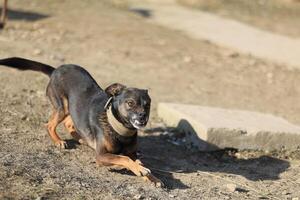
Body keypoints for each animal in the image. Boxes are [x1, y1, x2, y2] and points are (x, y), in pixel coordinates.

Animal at [0, 57, 163, 187]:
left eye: (147, 105)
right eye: (130, 103)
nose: (143, 116)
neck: (119, 129)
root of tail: (56, 70)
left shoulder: (133, 153)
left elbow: (137, 161)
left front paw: (152, 177)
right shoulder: (101, 156)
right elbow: (124, 158)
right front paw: (140, 170)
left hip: (72, 108)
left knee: (69, 124)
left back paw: (82, 139)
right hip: (63, 106)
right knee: (50, 125)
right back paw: (58, 141)